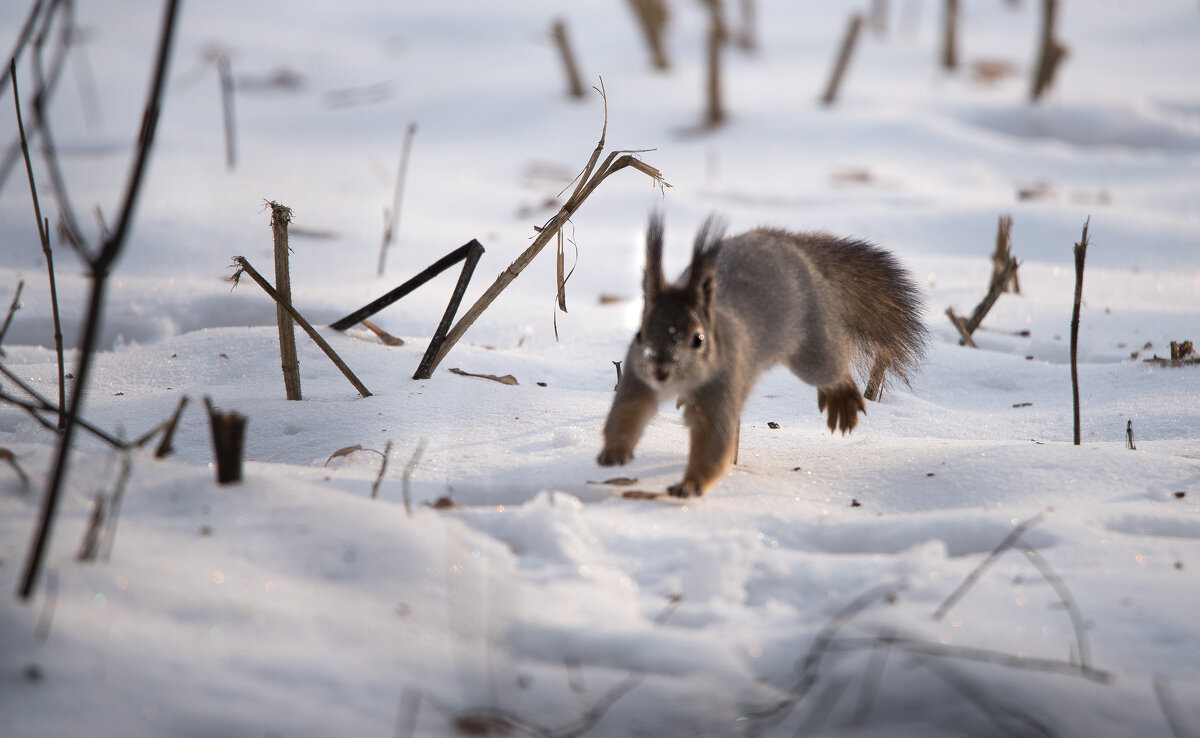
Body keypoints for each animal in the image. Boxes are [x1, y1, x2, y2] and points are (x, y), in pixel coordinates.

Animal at [597, 214, 926, 501]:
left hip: (812, 348)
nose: (660, 370)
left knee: (833, 369)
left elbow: (713, 439)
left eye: (698, 340)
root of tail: (794, 246)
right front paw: (614, 451)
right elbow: (627, 411)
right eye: (640, 333)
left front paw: (690, 485)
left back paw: (841, 398)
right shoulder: (638, 378)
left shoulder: (723, 385)